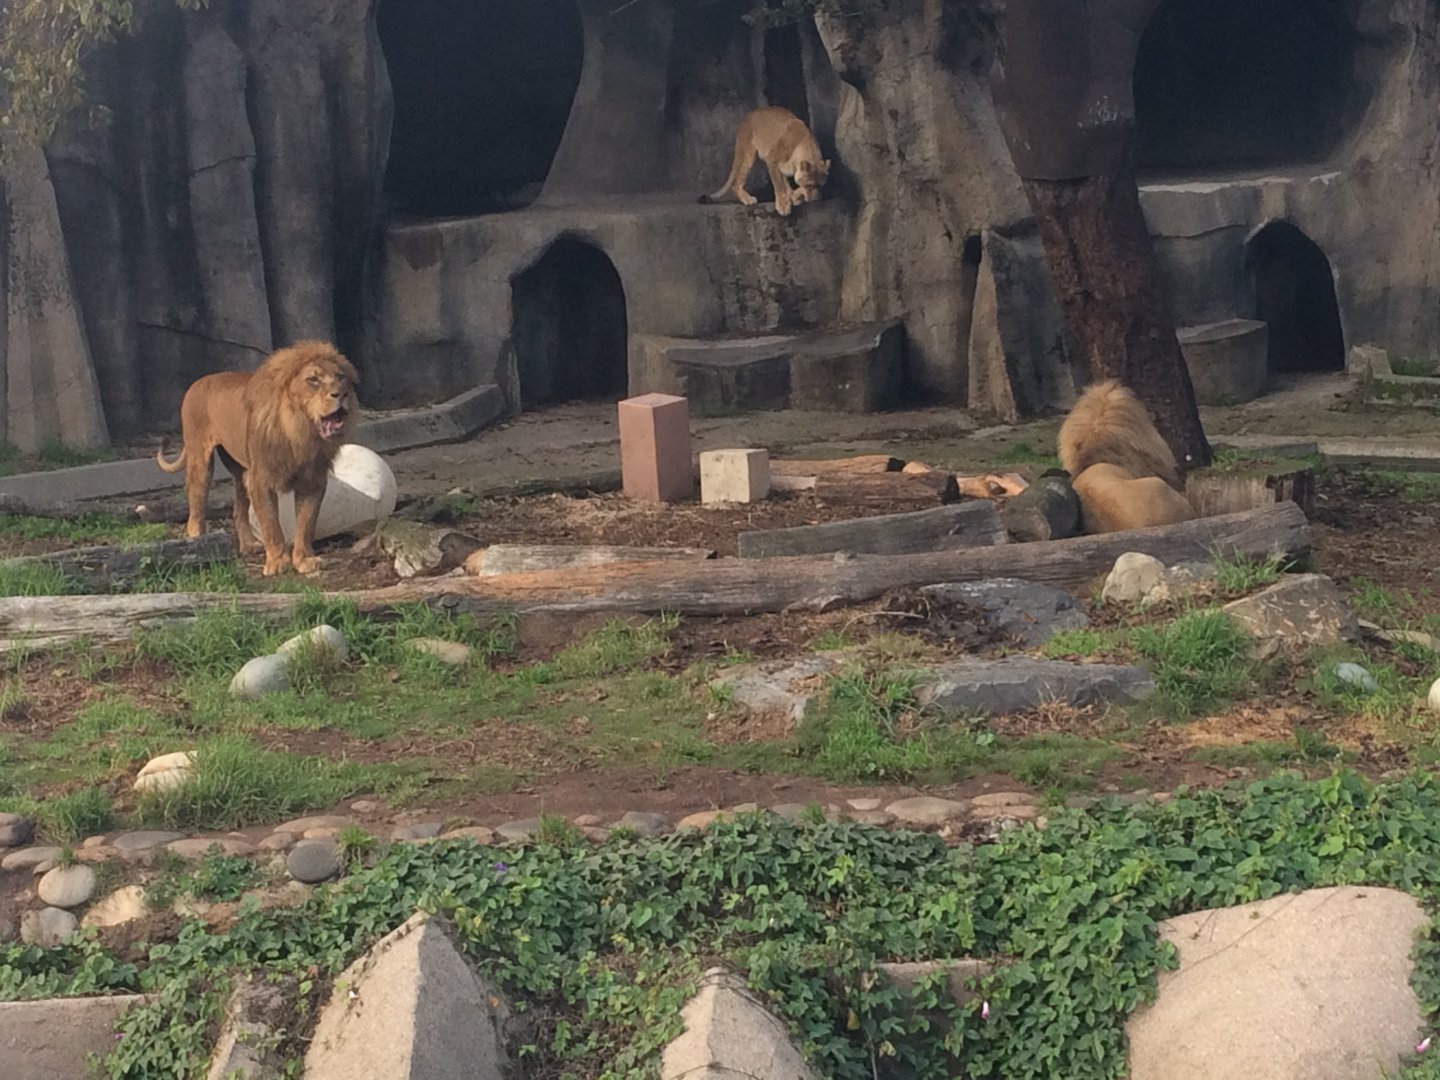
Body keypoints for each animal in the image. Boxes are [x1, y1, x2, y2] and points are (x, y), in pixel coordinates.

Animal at [156, 341, 359, 576]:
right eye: (313, 380)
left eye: (341, 377)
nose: (342, 394)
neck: (301, 433)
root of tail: (199, 381)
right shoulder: (261, 479)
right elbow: (271, 523)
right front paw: (278, 563)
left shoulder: (313, 481)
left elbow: (306, 523)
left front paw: (304, 560)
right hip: (201, 459)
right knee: (196, 502)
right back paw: (198, 540)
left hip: (241, 470)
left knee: (238, 508)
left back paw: (249, 545)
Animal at [698, 106, 831, 217]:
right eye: (809, 185)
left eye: (820, 185)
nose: (815, 200)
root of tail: (748, 115)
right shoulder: (771, 159)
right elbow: (779, 185)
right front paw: (783, 205)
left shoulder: (782, 167)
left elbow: (785, 183)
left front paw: (793, 196)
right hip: (748, 154)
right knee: (736, 184)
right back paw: (748, 199)